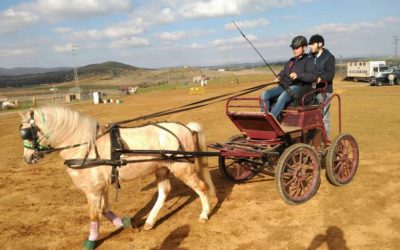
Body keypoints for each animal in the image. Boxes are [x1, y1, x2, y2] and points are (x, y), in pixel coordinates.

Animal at [19, 106, 216, 250]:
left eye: (26, 132)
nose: (28, 158)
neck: (87, 146)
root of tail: (187, 128)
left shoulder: (93, 189)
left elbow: (94, 214)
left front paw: (91, 240)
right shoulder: (102, 185)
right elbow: (104, 209)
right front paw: (123, 223)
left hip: (182, 168)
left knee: (201, 187)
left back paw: (204, 214)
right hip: (161, 168)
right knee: (164, 191)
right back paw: (150, 221)